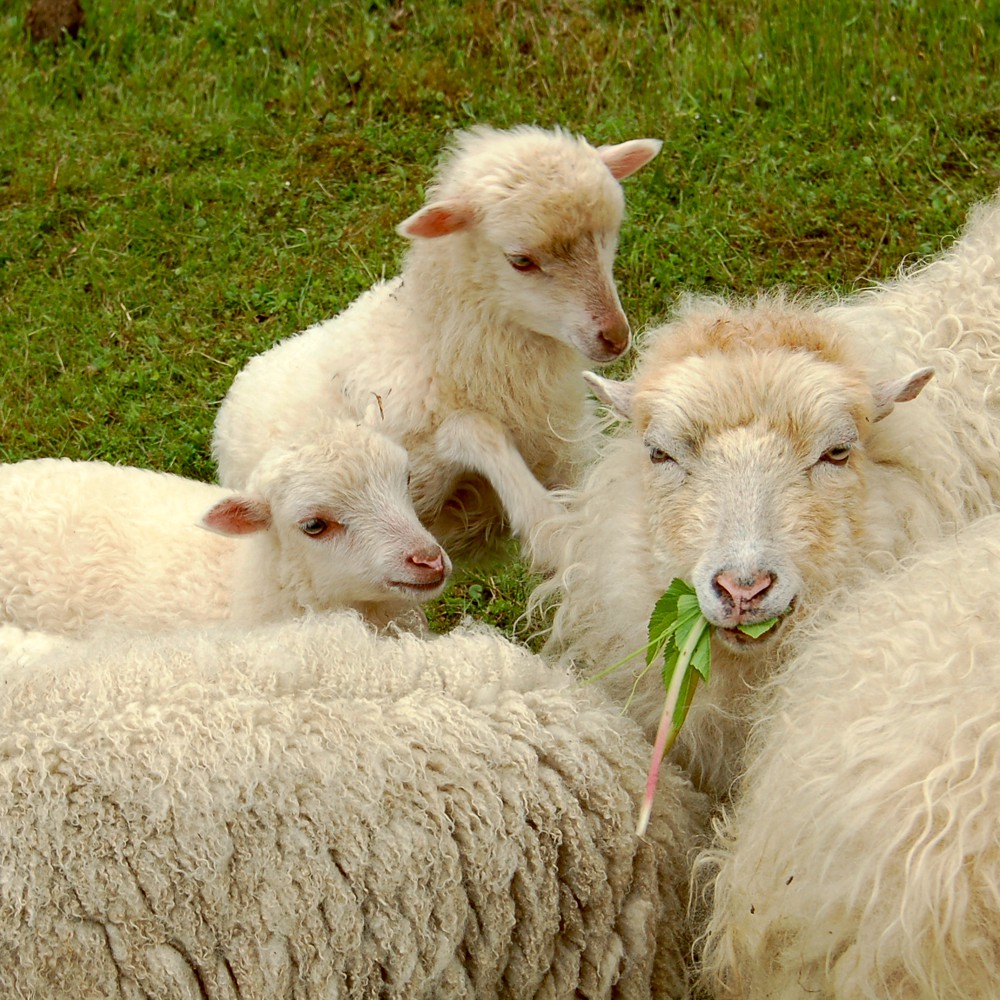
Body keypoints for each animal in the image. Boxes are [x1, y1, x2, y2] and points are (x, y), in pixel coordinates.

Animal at [211, 124, 664, 564]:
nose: (615, 337)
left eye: (609, 234)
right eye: (520, 260)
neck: (434, 346)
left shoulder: (563, 458)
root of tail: (255, 363)